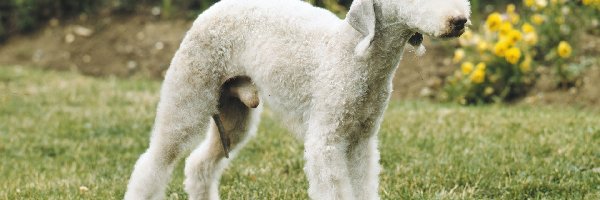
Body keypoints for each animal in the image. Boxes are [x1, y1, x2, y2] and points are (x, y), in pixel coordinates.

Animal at [125, 0, 468, 198]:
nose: (460, 20)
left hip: (235, 115)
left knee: (199, 165)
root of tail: (210, 10)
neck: (354, 53)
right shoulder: (326, 141)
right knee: (154, 162)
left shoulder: (361, 141)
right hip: (188, 95)